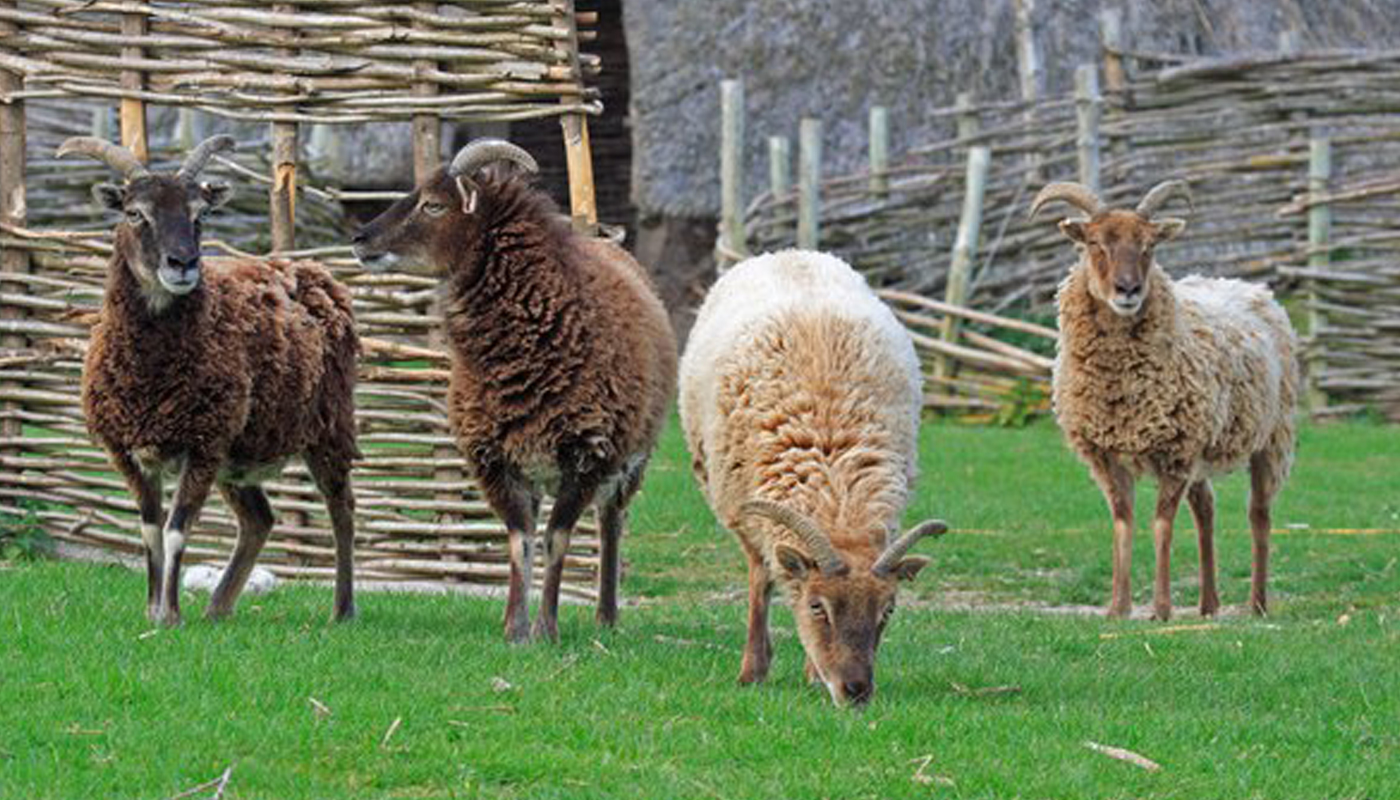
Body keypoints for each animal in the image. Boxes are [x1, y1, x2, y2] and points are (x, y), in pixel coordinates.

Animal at [60, 135, 358, 624]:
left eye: (200, 215)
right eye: (134, 213)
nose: (182, 263)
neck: (151, 376)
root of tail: (316, 274)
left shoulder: (202, 445)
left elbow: (177, 530)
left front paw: (171, 617)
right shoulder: (128, 451)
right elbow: (150, 530)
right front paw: (153, 612)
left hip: (328, 427)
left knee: (342, 509)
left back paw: (343, 611)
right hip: (237, 456)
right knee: (259, 519)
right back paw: (218, 608)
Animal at [350, 134, 677, 641]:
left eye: (433, 204)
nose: (360, 238)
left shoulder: (587, 455)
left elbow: (556, 540)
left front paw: (546, 629)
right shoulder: (495, 459)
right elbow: (519, 540)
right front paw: (514, 629)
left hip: (631, 458)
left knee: (611, 522)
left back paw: (606, 617)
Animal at [680, 250, 952, 706]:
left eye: (888, 610)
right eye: (816, 607)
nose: (856, 691)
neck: (835, 488)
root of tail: (792, 253)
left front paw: (812, 674)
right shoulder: (746, 516)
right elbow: (761, 581)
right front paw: (753, 672)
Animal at [1030, 179, 1299, 619]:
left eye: (1150, 245)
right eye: (1093, 243)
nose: (1128, 290)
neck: (1120, 391)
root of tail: (1250, 286)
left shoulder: (1175, 453)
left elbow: (1161, 527)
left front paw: (1160, 609)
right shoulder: (1106, 455)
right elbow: (1123, 523)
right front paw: (1118, 608)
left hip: (1271, 438)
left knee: (1259, 514)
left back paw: (1257, 604)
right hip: (1204, 450)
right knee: (1206, 510)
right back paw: (1208, 604)